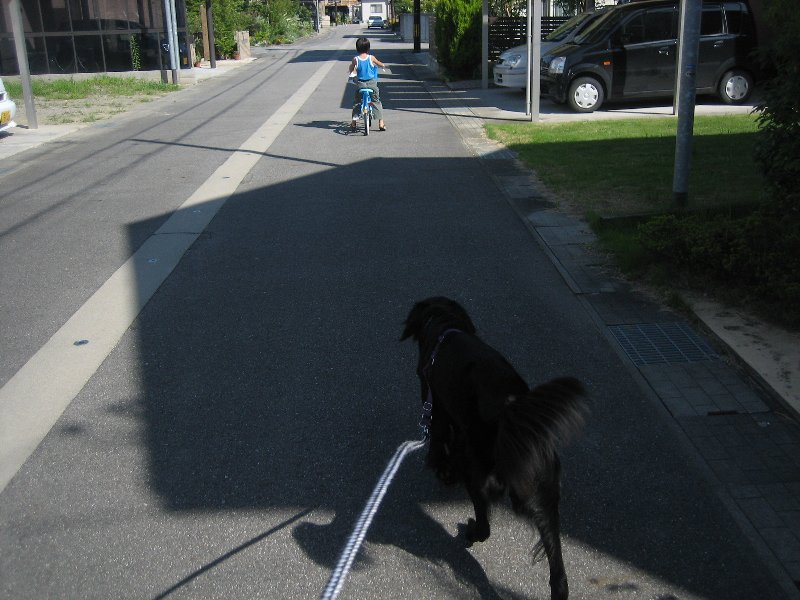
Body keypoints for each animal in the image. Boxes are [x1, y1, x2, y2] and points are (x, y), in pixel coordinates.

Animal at [401, 297, 588, 600]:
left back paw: (469, 531)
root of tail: (513, 408)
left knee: (485, 525)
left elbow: (439, 444)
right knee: (558, 569)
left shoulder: (436, 406)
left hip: (477, 469)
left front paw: (442, 469)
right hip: (547, 494)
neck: (445, 327)